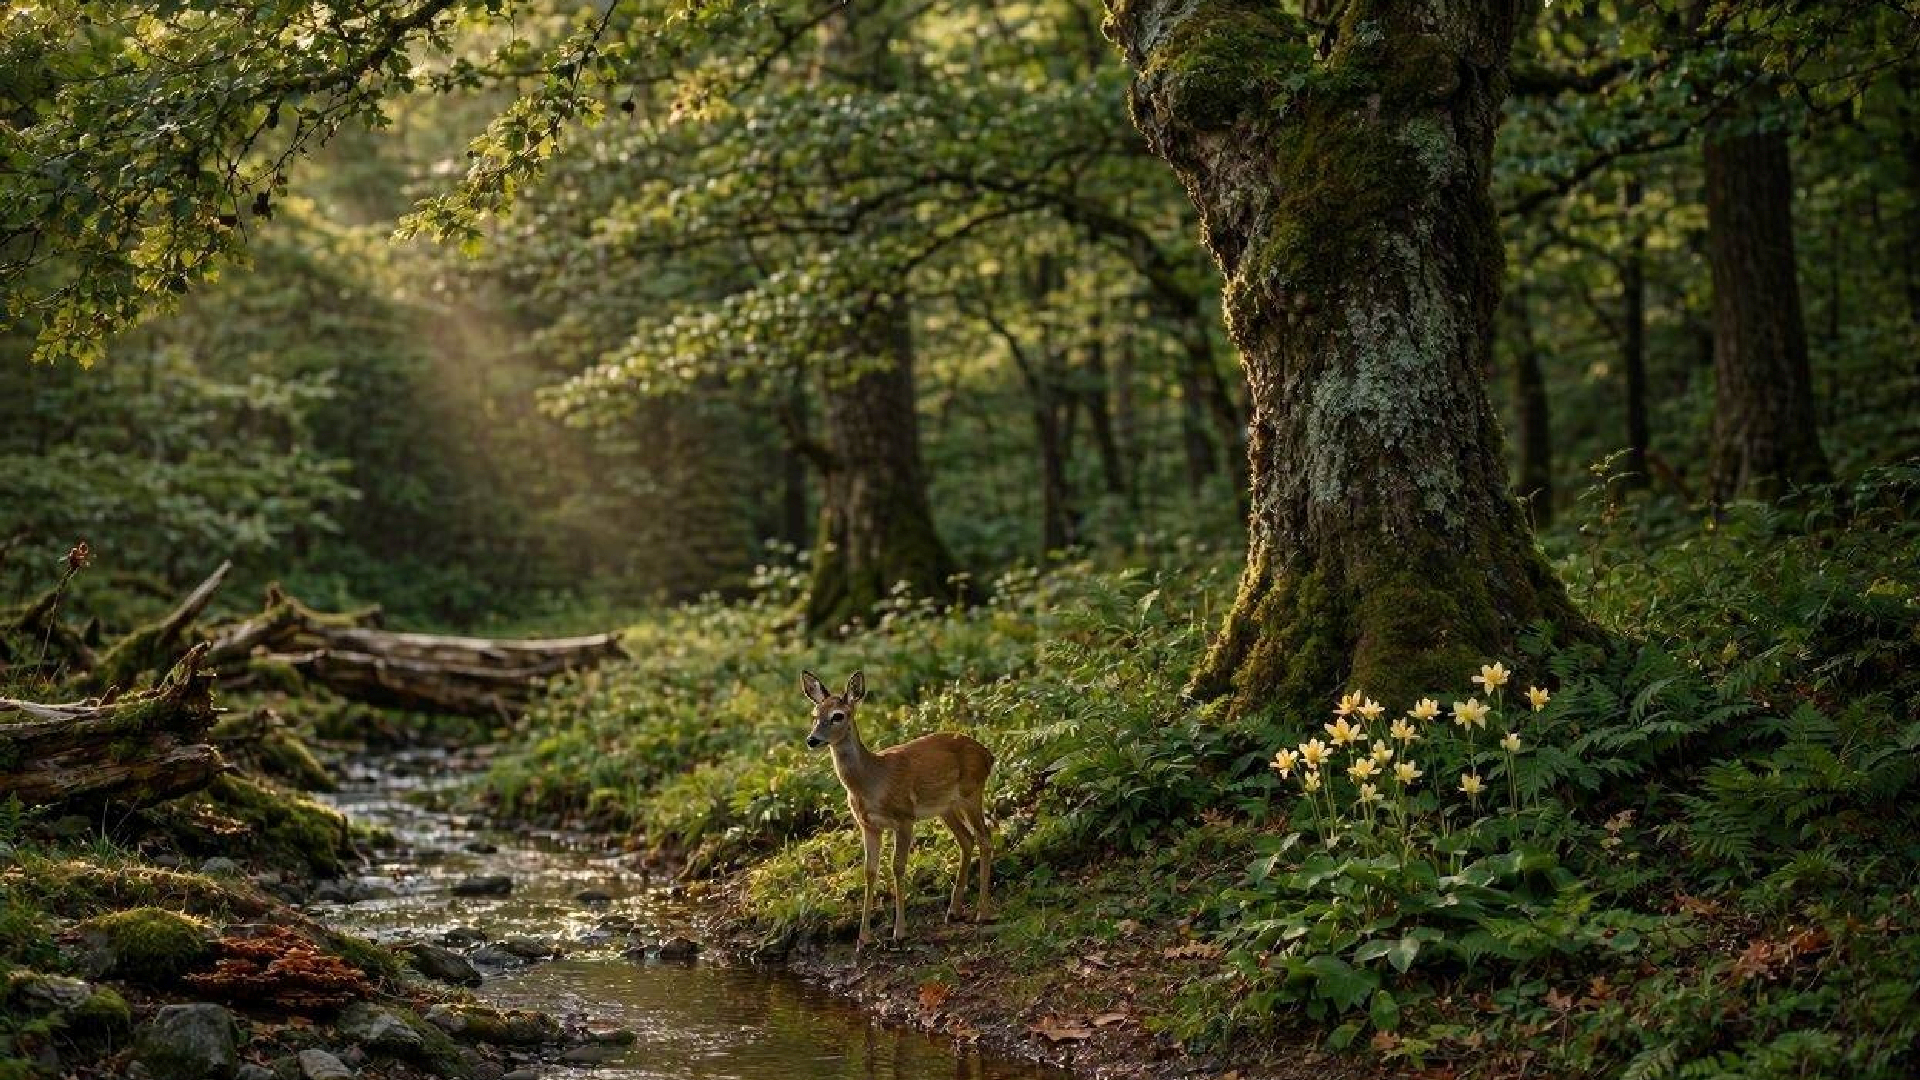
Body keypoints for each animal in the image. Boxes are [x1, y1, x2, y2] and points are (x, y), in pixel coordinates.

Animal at [801, 669, 994, 950]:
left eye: (838, 715)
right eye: (815, 715)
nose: (812, 740)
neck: (872, 782)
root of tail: (988, 754)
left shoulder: (904, 818)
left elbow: (898, 867)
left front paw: (899, 932)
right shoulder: (868, 825)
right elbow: (869, 871)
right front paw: (863, 938)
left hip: (972, 793)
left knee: (985, 838)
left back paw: (982, 913)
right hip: (945, 807)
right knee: (967, 840)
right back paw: (953, 911)